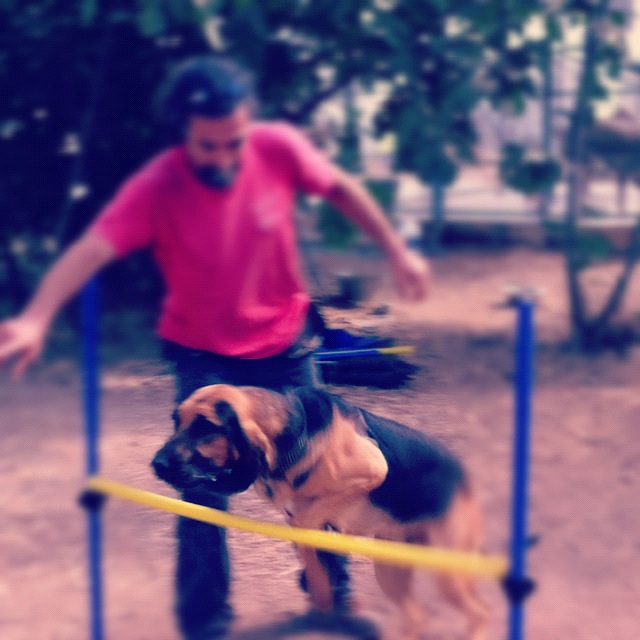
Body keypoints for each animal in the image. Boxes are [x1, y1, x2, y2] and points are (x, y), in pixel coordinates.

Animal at [152, 384, 490, 640]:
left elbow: (312, 515)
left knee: (480, 614)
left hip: (448, 574)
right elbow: (317, 575)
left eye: (205, 427)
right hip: (390, 571)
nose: (157, 464)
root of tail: (465, 478)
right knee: (418, 617)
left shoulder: (373, 470)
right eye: (176, 421)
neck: (293, 432)